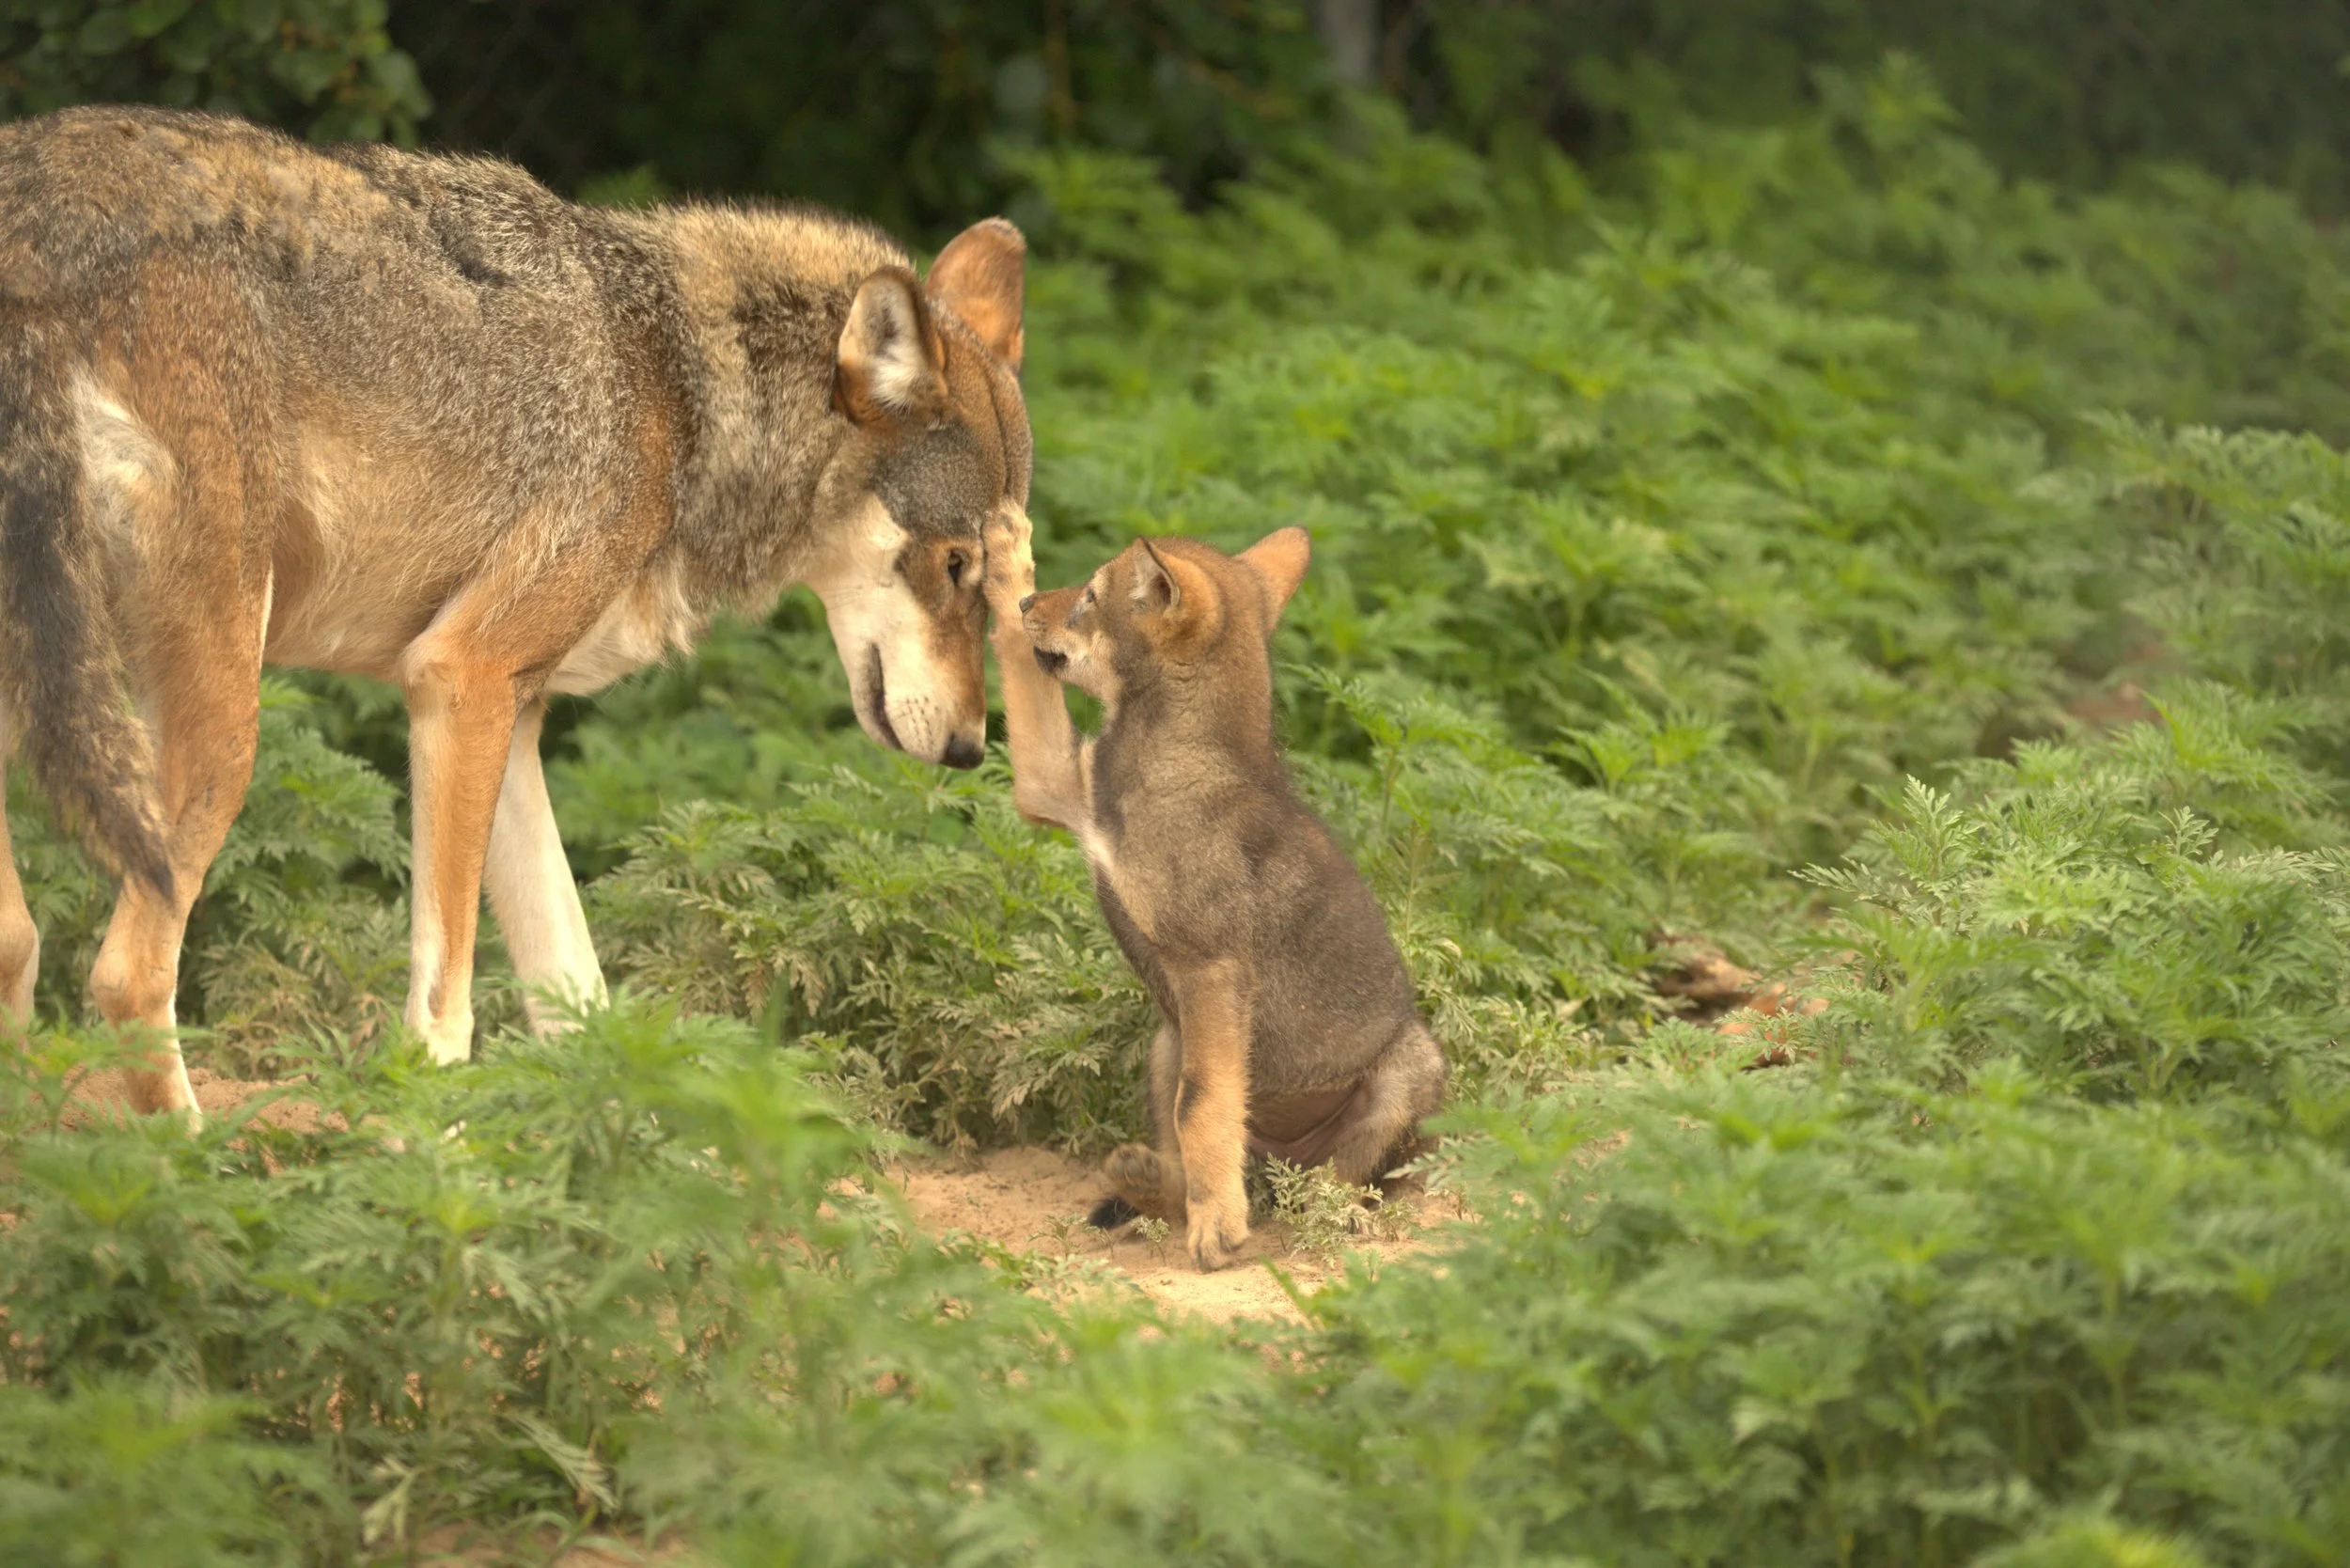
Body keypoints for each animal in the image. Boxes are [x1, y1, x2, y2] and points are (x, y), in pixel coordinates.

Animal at [0, 106, 1032, 1120]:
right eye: (955, 564)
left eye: (1006, 583)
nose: (969, 751)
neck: (682, 394)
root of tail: (43, 217)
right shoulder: (463, 678)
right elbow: (446, 1015)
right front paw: (434, 1153)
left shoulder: (511, 714)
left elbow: (583, 1004)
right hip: (221, 723)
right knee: (128, 975)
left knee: (22, 944)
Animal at [981, 508, 1446, 1271]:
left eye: (1090, 596)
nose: (1028, 605)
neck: (1160, 762)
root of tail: (1279, 1160)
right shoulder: (1051, 785)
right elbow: (1018, 667)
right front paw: (999, 551)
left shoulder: (1211, 971)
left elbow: (1202, 1107)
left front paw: (1219, 1229)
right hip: (1166, 1042)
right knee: (1201, 1160)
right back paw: (1148, 1183)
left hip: (1407, 1070)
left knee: (1334, 1187)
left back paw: (1319, 1213)